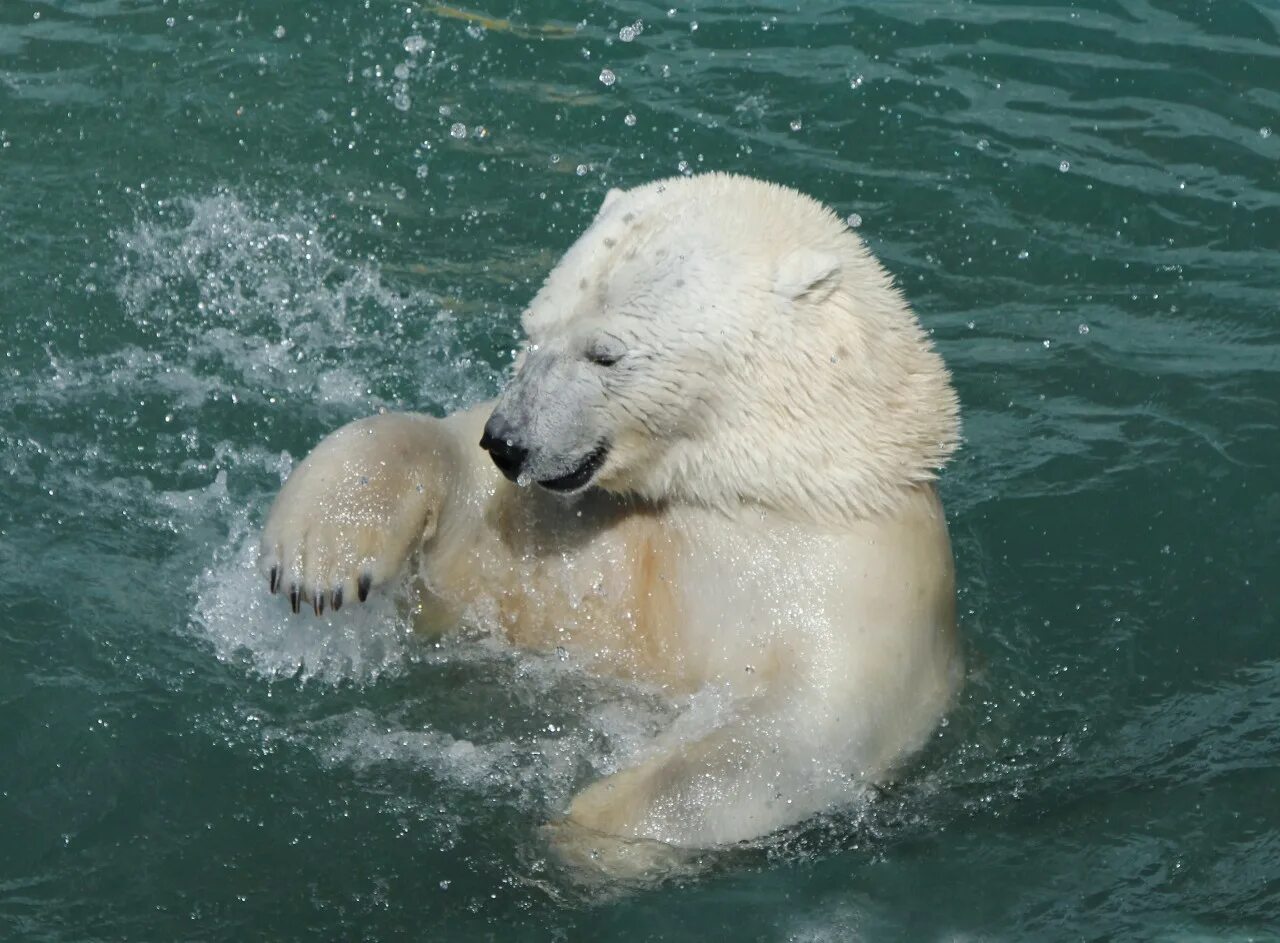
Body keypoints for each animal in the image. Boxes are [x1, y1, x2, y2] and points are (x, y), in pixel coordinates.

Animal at [259, 172, 962, 870]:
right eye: (534, 329)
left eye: (605, 354)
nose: (508, 441)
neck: (746, 489)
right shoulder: (557, 534)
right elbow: (450, 484)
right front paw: (318, 560)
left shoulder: (855, 587)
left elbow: (791, 732)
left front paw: (589, 825)